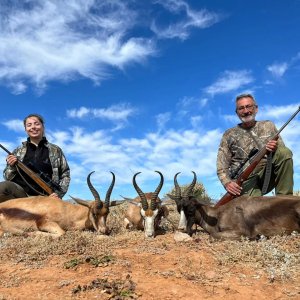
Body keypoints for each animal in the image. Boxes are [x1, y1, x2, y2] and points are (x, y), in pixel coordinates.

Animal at [172, 172, 300, 240]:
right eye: (179, 209)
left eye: (191, 209)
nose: (182, 229)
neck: (218, 214)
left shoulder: (240, 232)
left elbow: (212, 235)